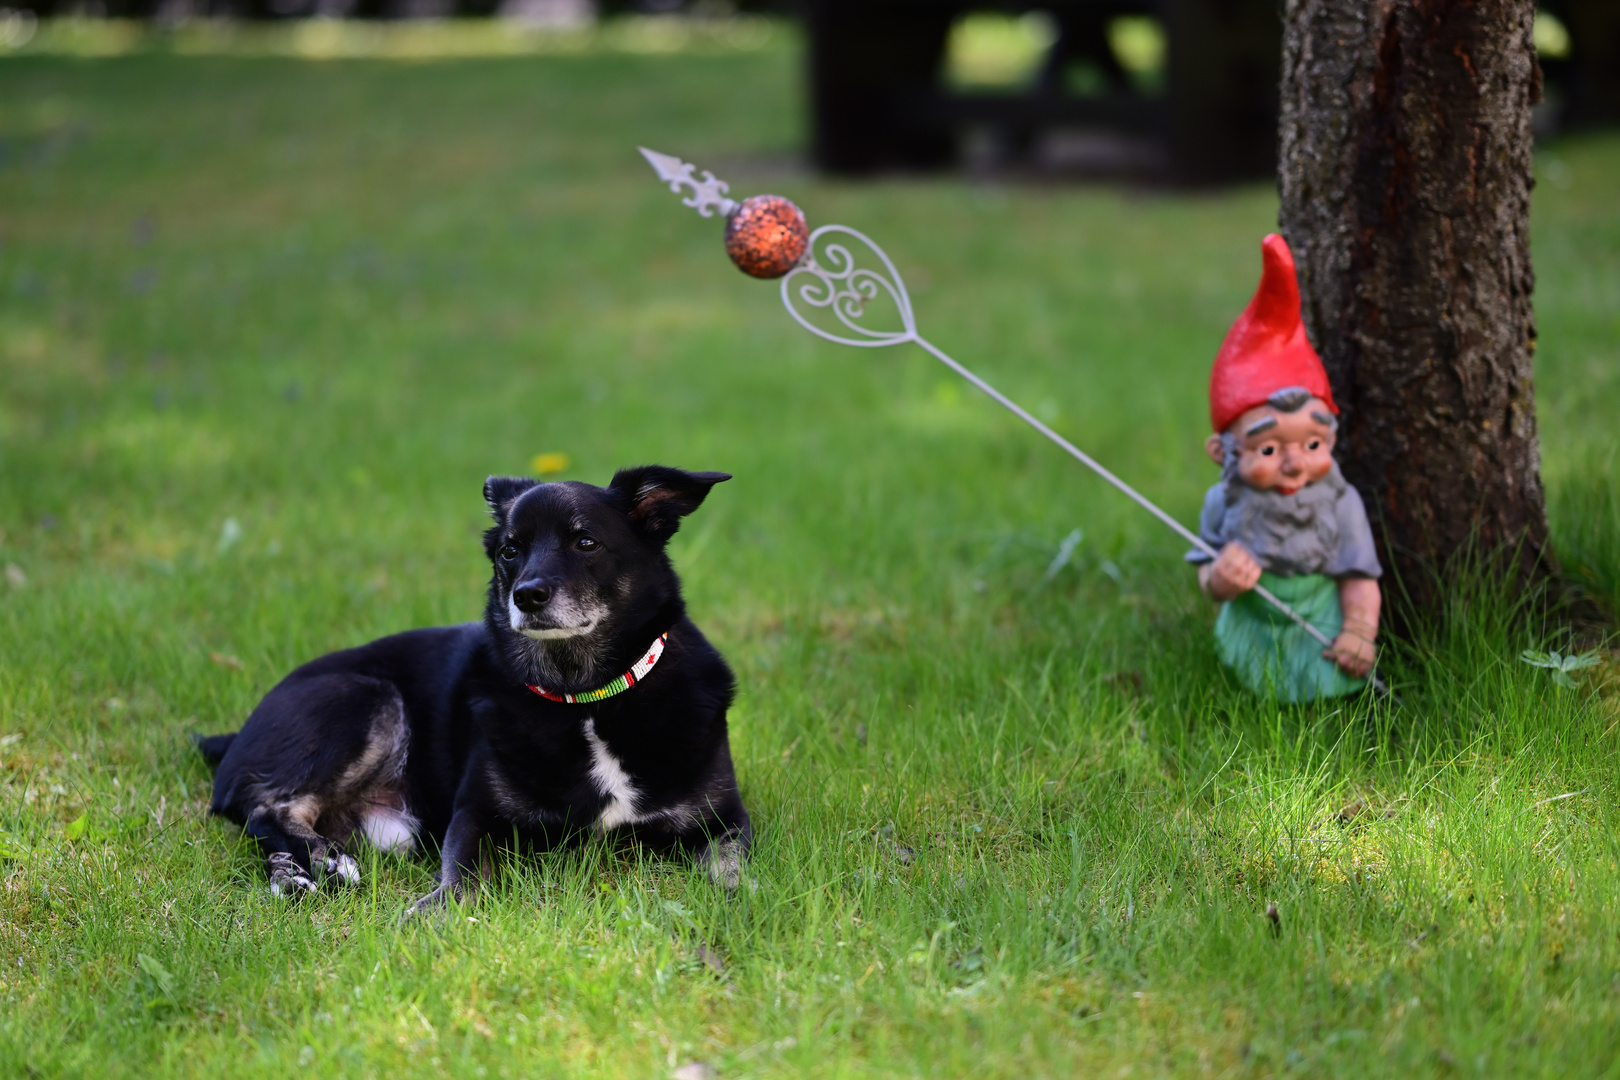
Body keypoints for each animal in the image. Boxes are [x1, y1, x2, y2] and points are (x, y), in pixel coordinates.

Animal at [194, 466, 745, 913]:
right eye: (509, 550)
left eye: (586, 542)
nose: (527, 595)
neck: (584, 698)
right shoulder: (476, 815)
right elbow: (460, 878)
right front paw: (432, 914)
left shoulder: (724, 821)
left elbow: (733, 875)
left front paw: (740, 911)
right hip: (368, 699)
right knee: (265, 808)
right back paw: (327, 860)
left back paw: (294, 876)